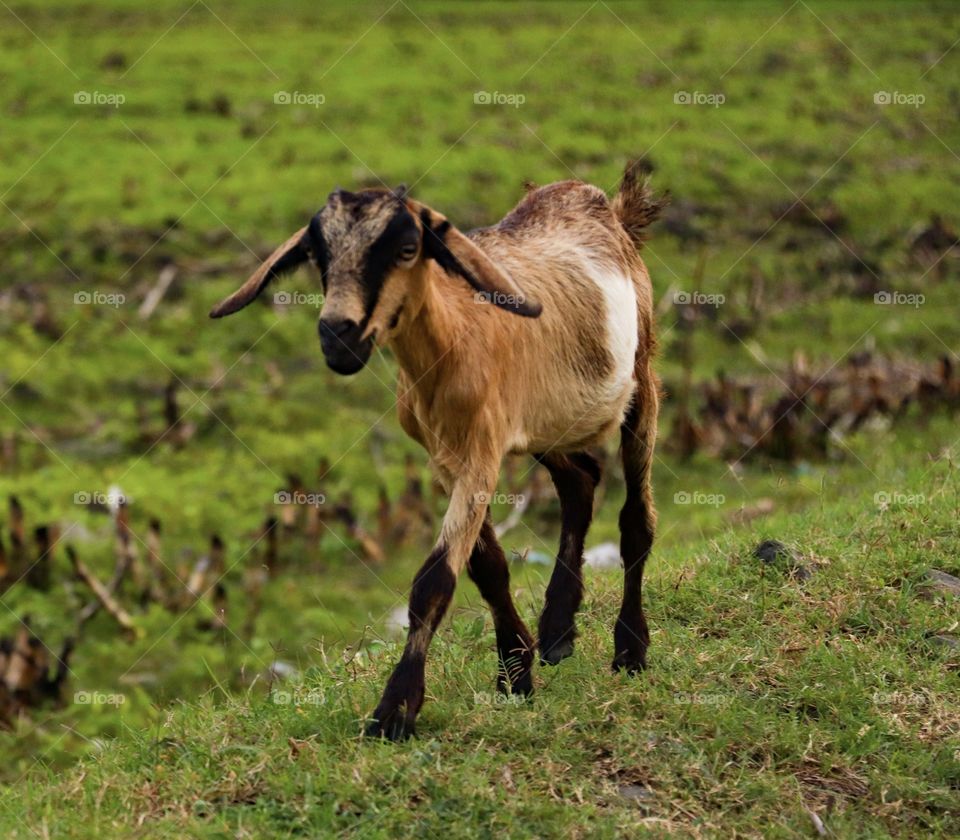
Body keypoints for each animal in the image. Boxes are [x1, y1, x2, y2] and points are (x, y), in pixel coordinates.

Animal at [210, 163, 665, 740]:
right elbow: (487, 566)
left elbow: (435, 579)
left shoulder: (482, 451)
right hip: (545, 423)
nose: (338, 336)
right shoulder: (447, 453)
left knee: (636, 519)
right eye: (319, 253)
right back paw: (559, 631)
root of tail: (608, 208)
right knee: (580, 481)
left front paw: (395, 710)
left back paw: (630, 649)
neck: (454, 337)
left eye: (408, 248)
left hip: (641, 380)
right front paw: (516, 671)